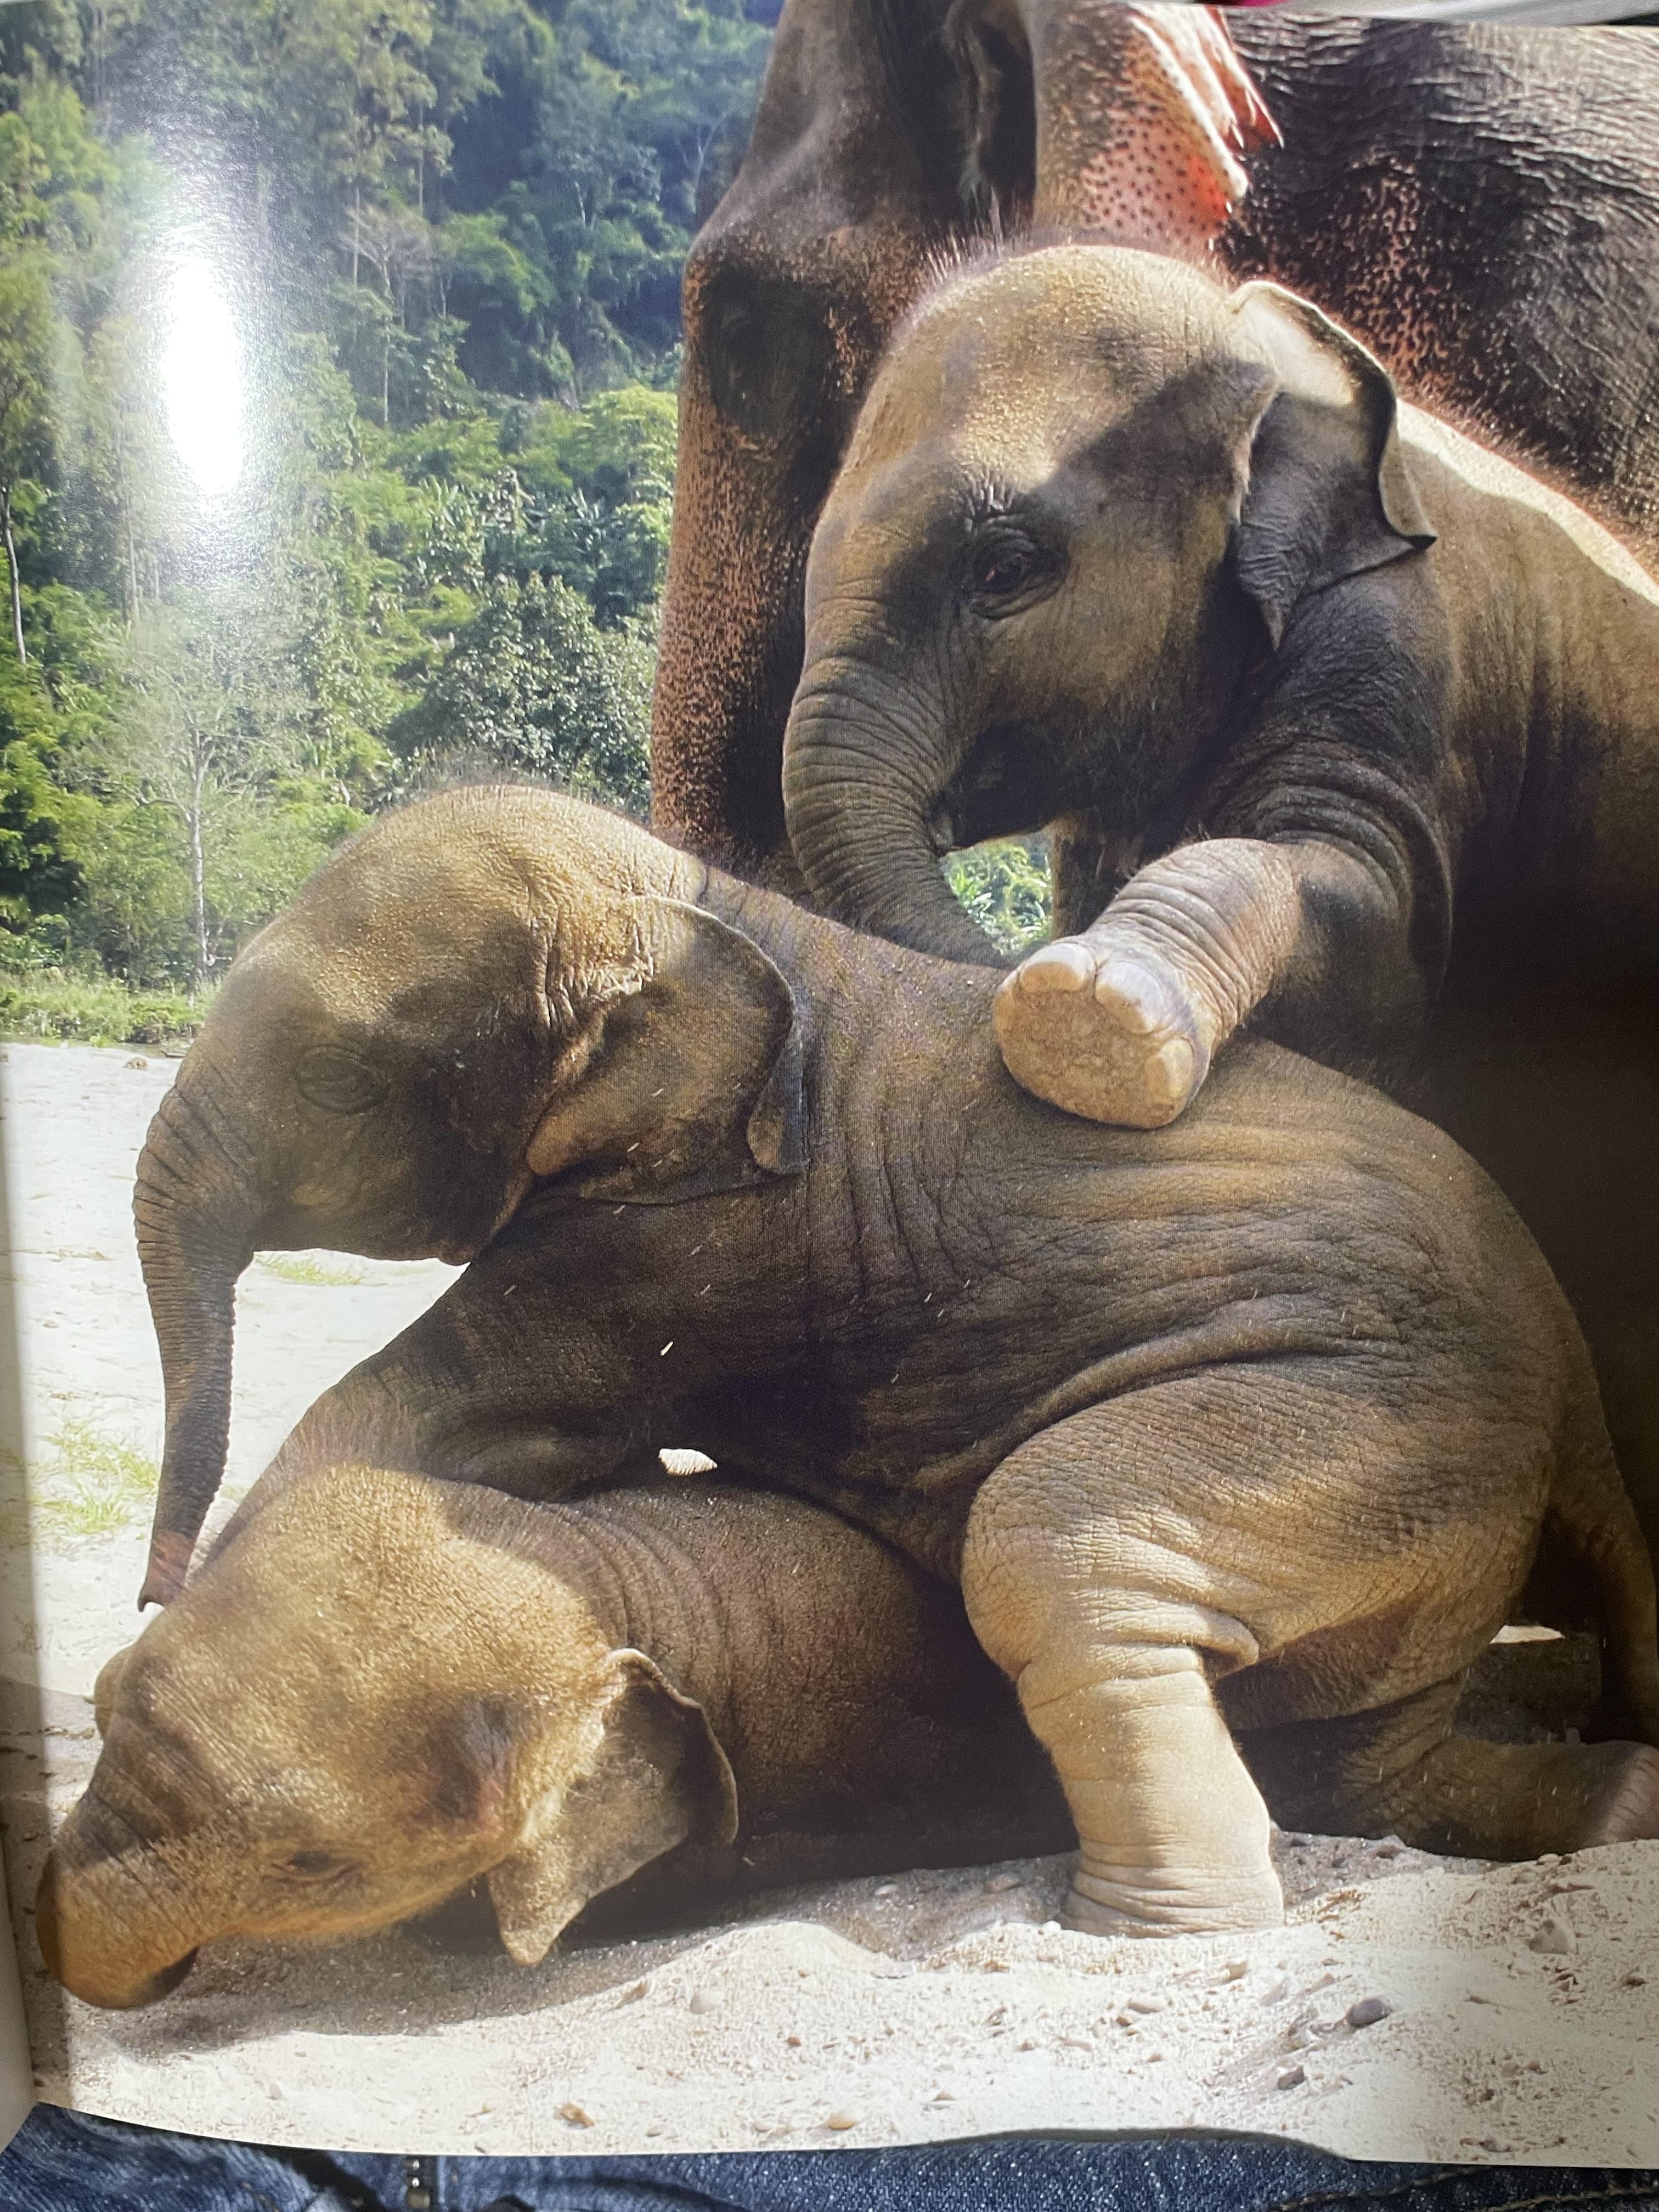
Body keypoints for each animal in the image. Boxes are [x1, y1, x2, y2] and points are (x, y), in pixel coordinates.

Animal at [129, 784, 1659, 1937]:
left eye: (341, 1083)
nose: (145, 1595)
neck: (697, 902)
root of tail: (1566, 1372)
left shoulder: (672, 1244)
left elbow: (411, 1422)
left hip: (1387, 1424)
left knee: (1053, 1542)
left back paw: (1154, 1926)